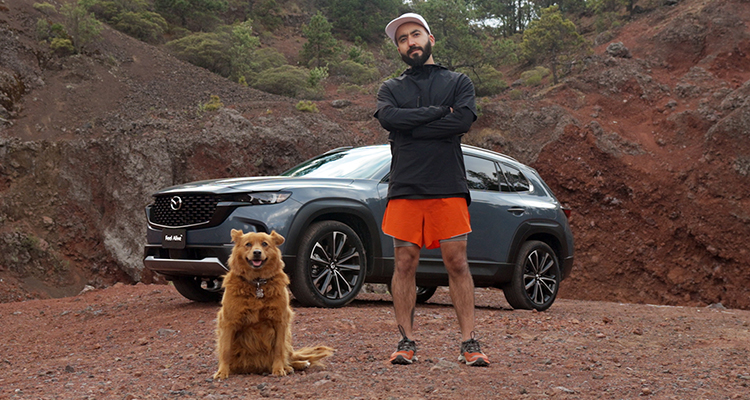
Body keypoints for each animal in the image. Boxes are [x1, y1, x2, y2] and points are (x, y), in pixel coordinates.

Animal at [213, 228, 334, 378]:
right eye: (248, 244)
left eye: (265, 244)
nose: (257, 252)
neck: (257, 283)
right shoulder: (228, 321)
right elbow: (225, 350)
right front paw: (222, 372)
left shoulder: (280, 321)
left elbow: (279, 349)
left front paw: (279, 369)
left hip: (288, 338)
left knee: (289, 355)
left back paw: (294, 365)